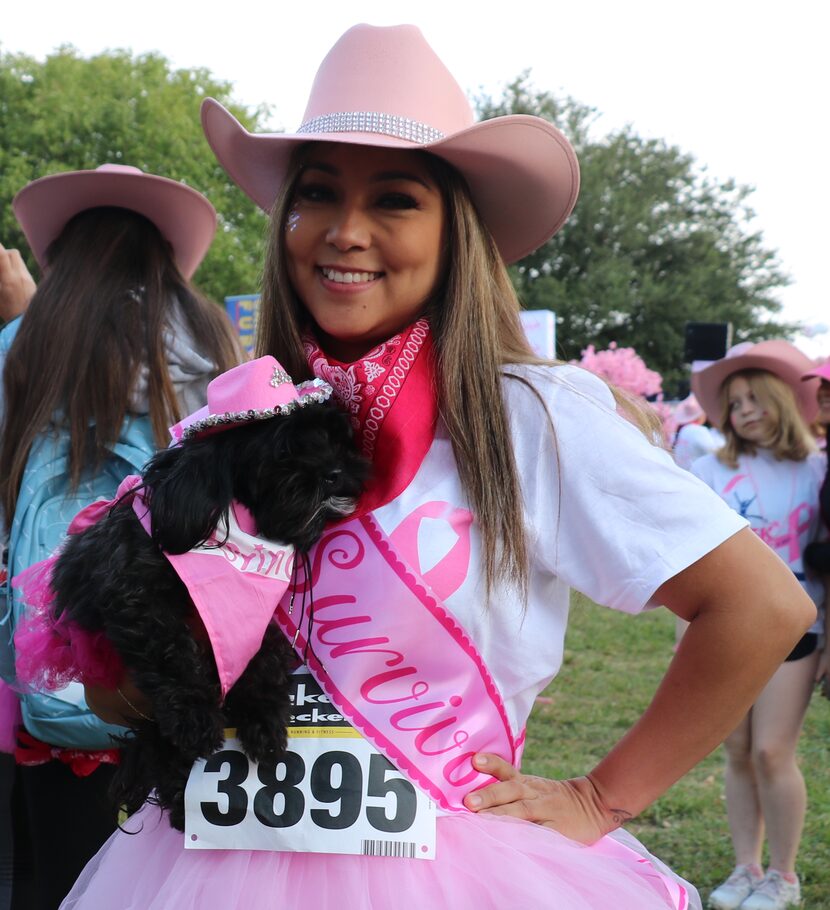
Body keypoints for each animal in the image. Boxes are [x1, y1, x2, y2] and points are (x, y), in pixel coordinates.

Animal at [48, 388, 368, 832]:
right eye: (285, 449)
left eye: (339, 439)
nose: (335, 472)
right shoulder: (134, 595)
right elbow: (173, 653)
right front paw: (195, 717)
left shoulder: (258, 617)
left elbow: (260, 655)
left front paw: (264, 718)